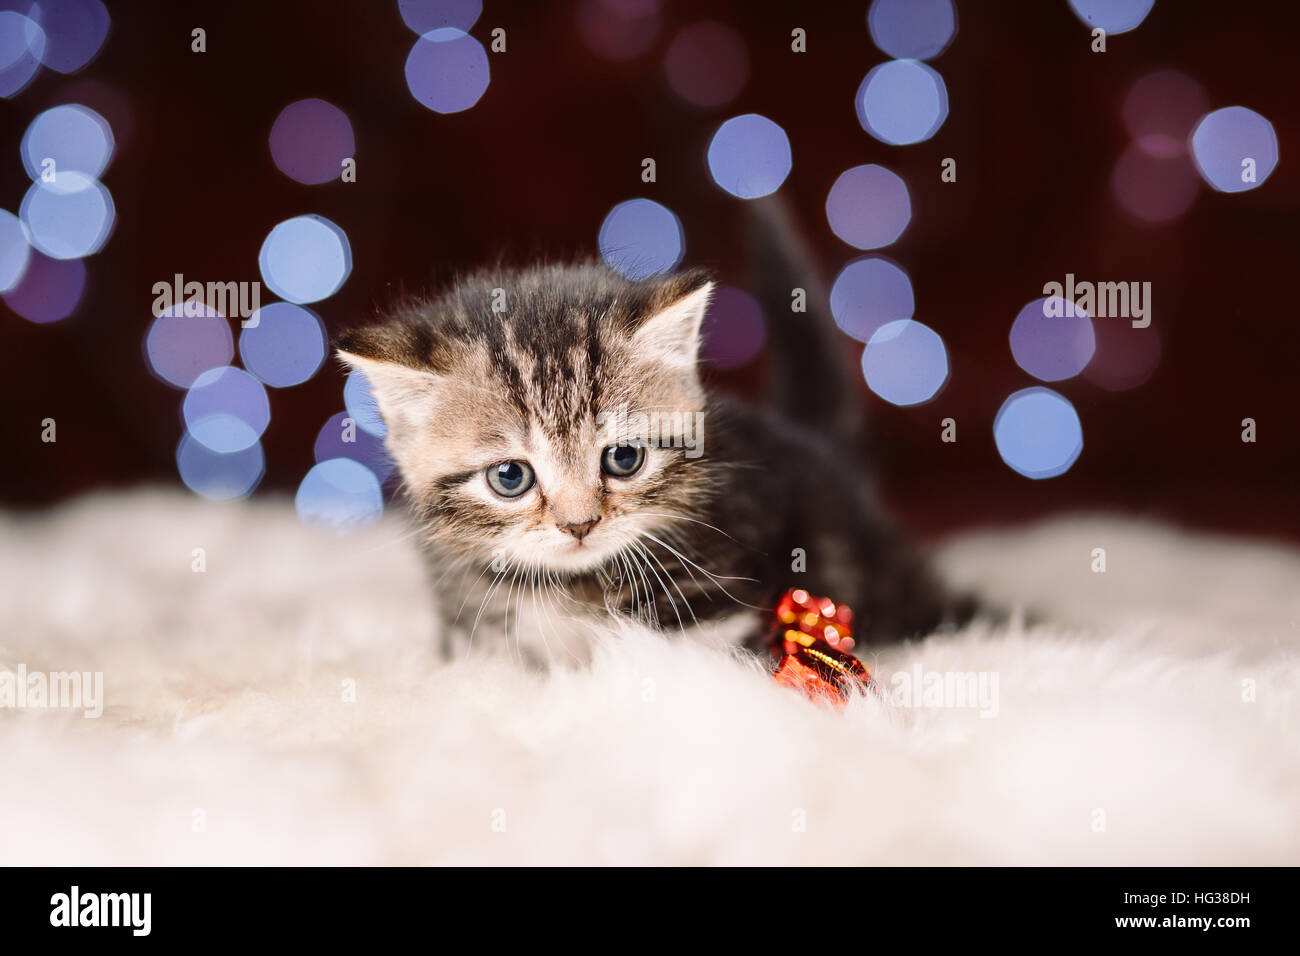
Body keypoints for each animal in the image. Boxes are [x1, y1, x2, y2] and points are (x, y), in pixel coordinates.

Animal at [340, 200, 972, 665]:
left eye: (623, 458)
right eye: (510, 477)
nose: (579, 525)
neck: (572, 587)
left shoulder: (726, 595)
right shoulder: (478, 628)